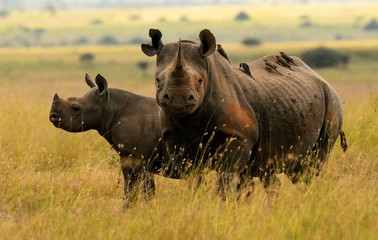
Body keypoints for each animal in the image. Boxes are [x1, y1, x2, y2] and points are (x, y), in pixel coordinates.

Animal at [49, 73, 162, 202]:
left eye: (76, 108)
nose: (52, 116)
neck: (108, 104)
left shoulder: (142, 158)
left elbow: (146, 189)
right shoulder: (129, 157)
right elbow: (129, 186)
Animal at [142, 28, 348, 193]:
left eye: (200, 81)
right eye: (157, 81)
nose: (177, 101)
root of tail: (318, 76)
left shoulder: (237, 137)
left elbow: (226, 179)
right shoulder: (175, 139)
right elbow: (193, 177)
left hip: (332, 103)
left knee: (312, 165)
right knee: (276, 170)